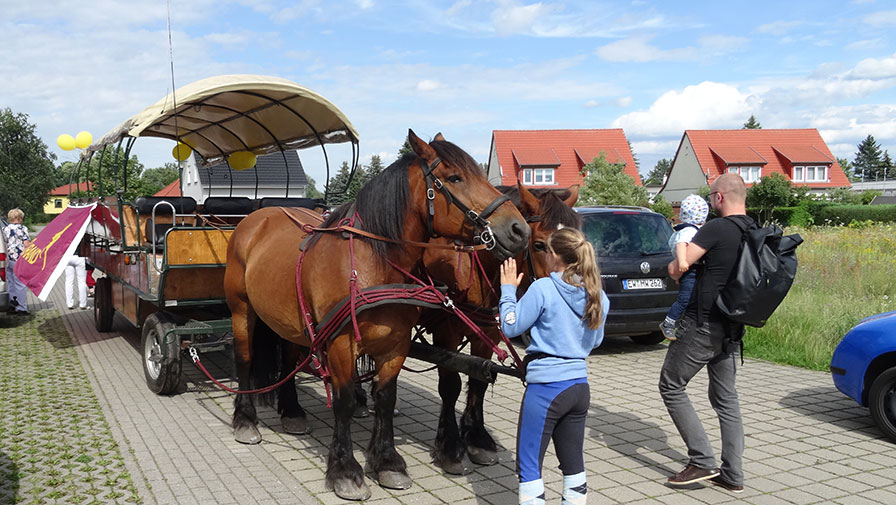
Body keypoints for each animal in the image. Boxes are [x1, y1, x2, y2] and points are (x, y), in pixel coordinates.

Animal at [226, 128, 532, 498]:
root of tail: (258, 217)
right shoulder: (341, 344)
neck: (373, 261)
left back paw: (293, 411)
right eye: (455, 178)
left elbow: (386, 398)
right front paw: (345, 469)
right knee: (244, 358)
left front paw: (387, 462)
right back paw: (245, 419)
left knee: (288, 357)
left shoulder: (396, 344)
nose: (518, 229)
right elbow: (343, 401)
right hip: (242, 310)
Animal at [420, 184, 580, 472]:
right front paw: (450, 447)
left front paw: (477, 439)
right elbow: (450, 385)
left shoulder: (488, 334)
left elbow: (478, 381)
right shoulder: (446, 334)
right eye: (538, 244)